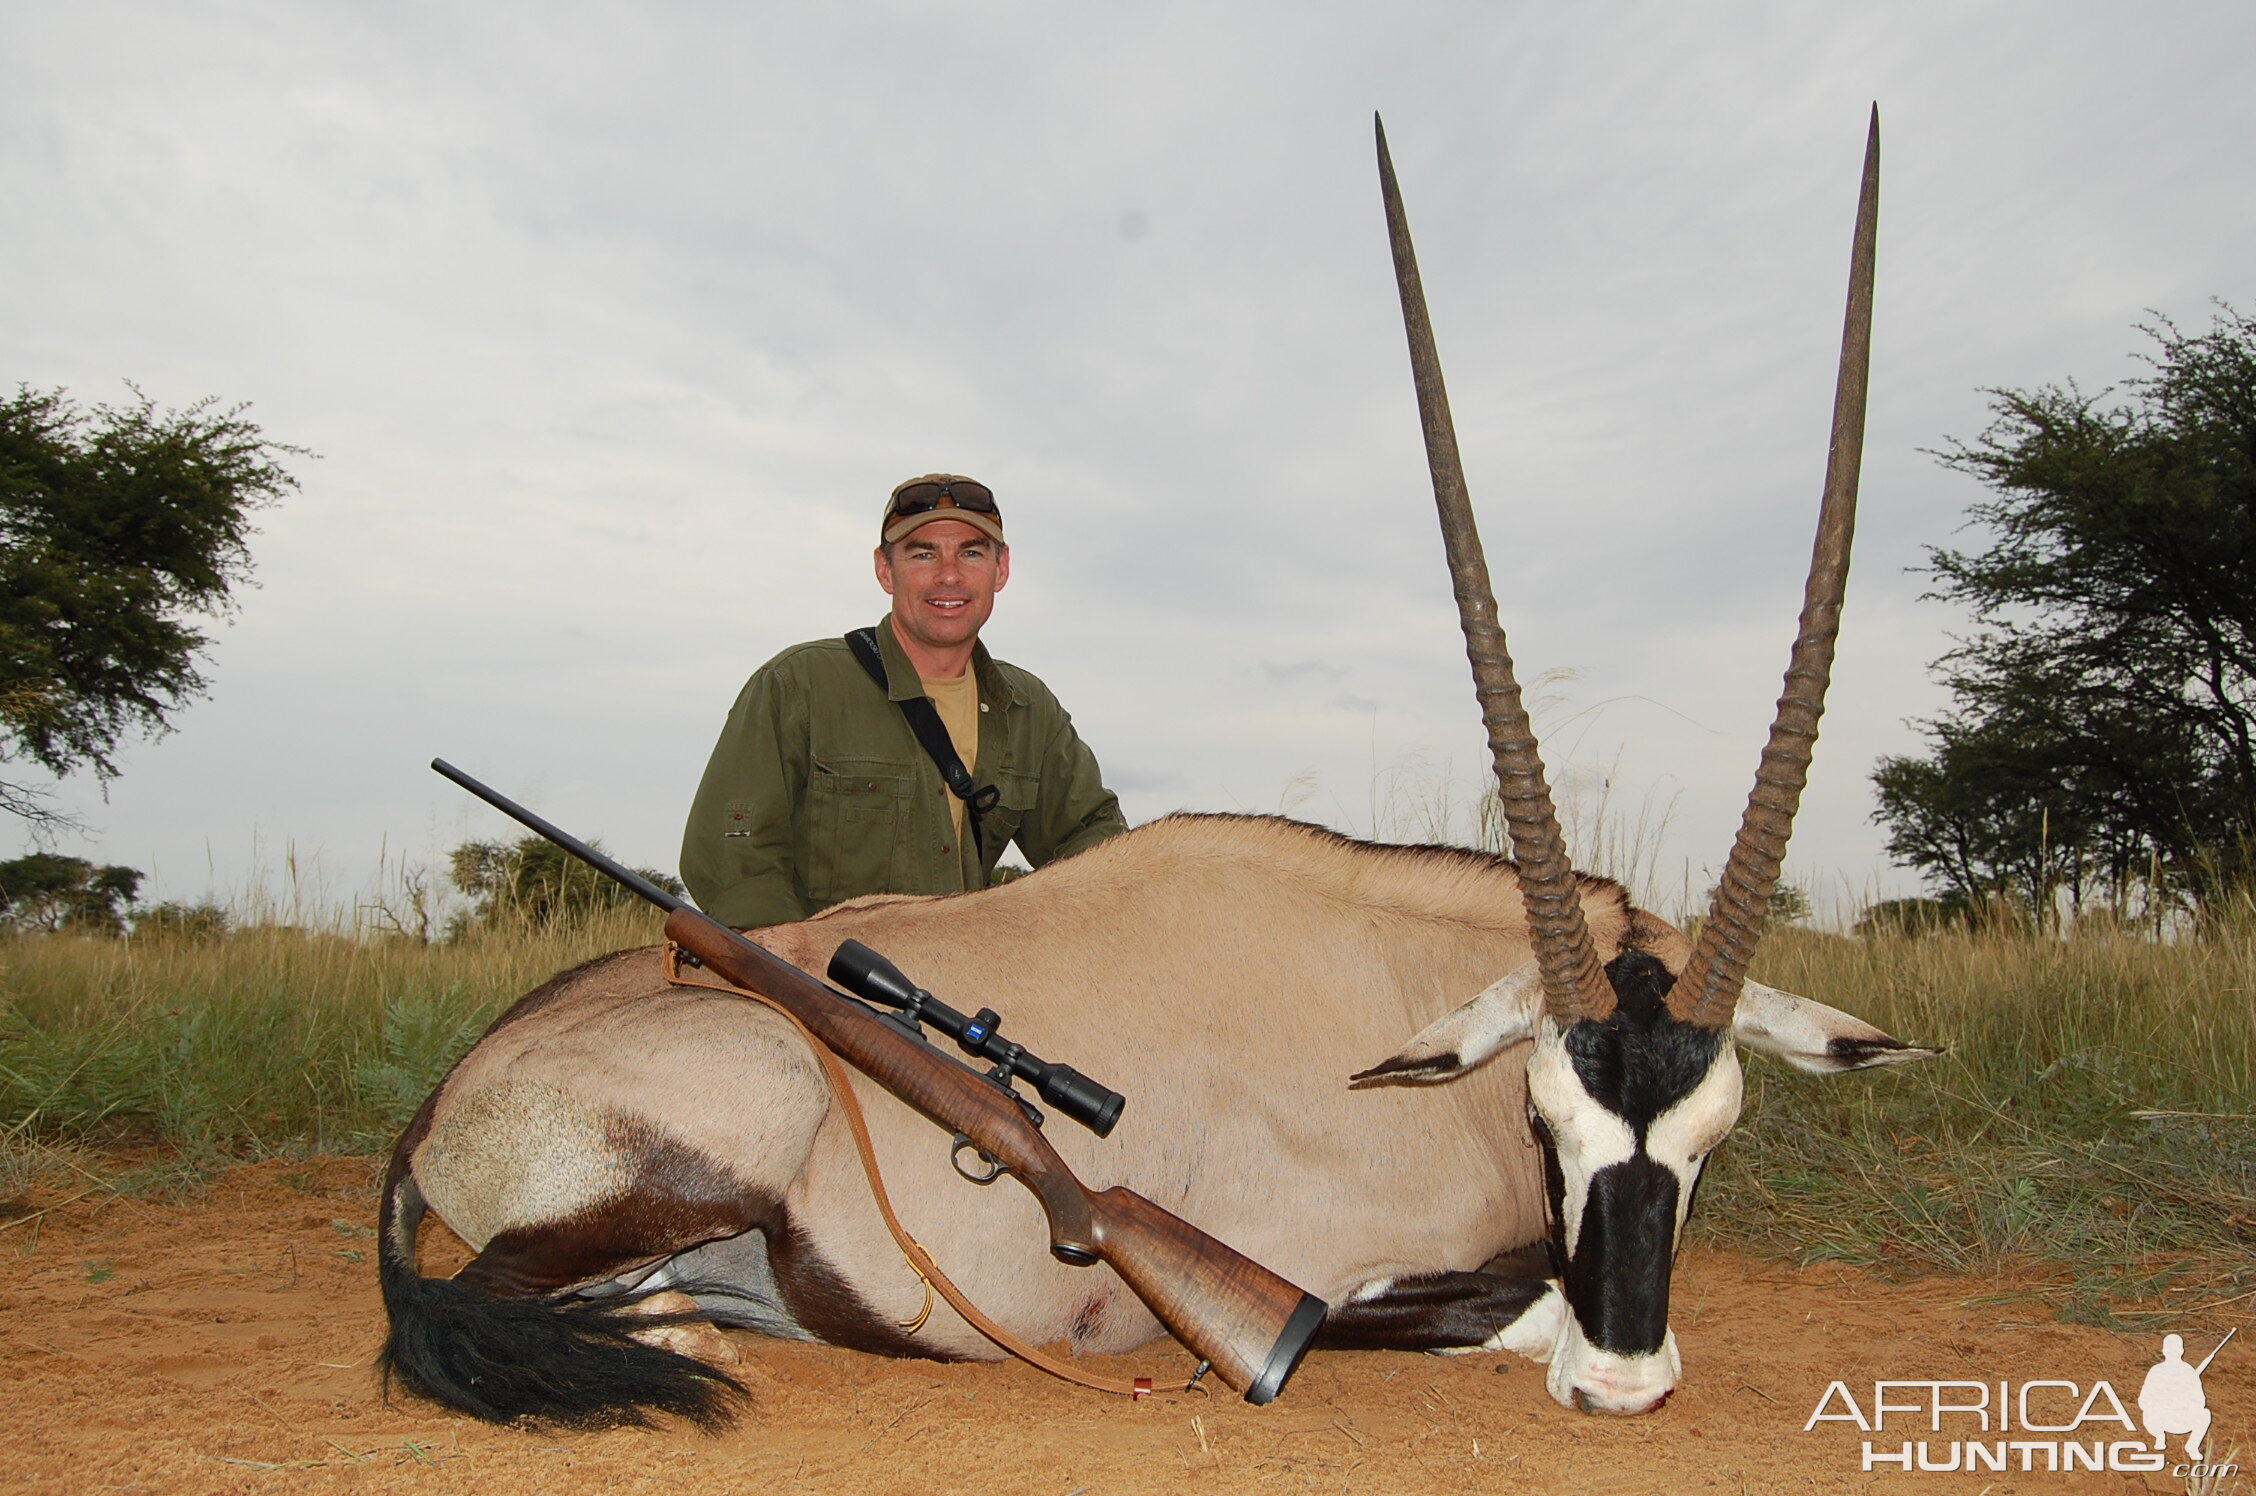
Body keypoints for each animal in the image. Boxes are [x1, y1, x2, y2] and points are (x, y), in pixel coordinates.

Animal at [379, 113, 1931, 1426]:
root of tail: (456, 1090)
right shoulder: (1325, 1283)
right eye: (1552, 1116)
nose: (1624, 1386)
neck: (1401, 1020)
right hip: (741, 1101)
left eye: (1715, 1132)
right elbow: (1514, 1299)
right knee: (498, 1291)